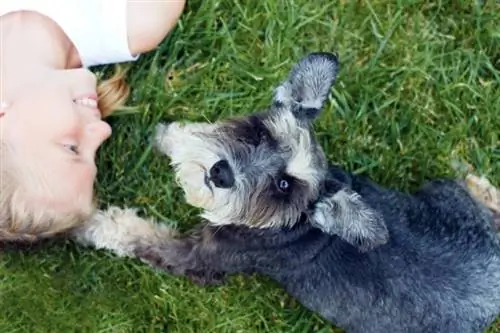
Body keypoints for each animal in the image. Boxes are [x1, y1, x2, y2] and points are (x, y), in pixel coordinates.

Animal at [81, 52, 500, 332]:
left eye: (283, 186)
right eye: (260, 133)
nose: (220, 172)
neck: (287, 223)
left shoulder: (202, 258)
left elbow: (139, 235)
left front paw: (90, 223)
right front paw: (175, 139)